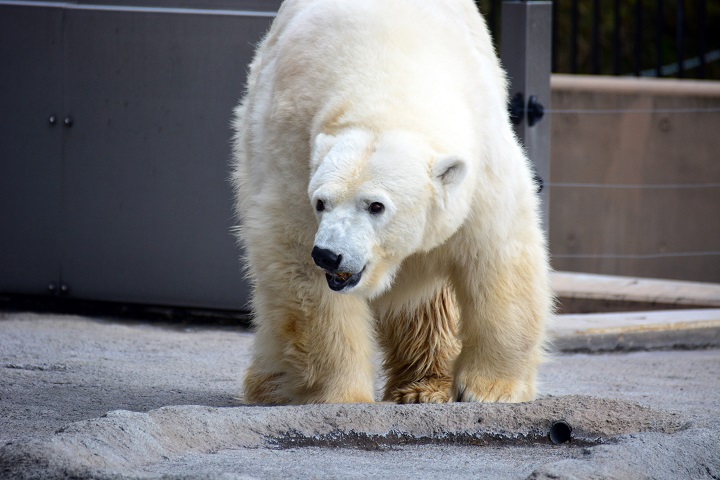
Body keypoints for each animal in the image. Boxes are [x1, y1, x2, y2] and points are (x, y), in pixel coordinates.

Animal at [232, 0, 552, 404]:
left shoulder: (481, 166)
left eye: (376, 205)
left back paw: (424, 386)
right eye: (321, 202)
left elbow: (498, 255)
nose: (329, 255)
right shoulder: (292, 155)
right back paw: (270, 384)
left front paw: (490, 389)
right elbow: (302, 273)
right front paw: (340, 394)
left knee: (430, 304)